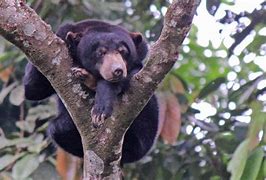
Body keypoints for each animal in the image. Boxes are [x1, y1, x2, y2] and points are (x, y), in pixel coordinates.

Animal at [22, 19, 159, 163]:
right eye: (100, 52)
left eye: (122, 51)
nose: (118, 70)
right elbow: (33, 89)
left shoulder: (141, 55)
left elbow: (136, 73)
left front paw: (100, 109)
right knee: (58, 128)